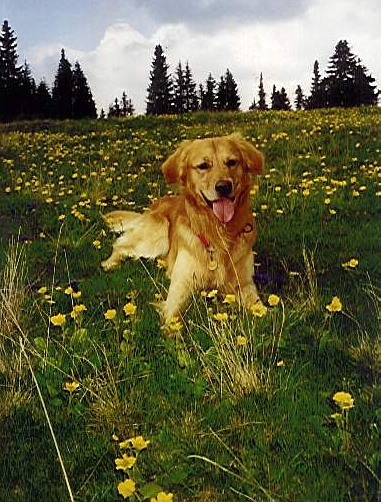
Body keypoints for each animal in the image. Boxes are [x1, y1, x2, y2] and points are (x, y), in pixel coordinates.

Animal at [102, 132, 266, 322]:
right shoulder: (181, 285)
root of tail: (152, 207)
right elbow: (172, 319)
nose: (224, 187)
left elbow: (265, 312)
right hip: (158, 235)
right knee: (120, 245)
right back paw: (109, 263)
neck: (218, 231)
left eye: (232, 162)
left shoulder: (245, 285)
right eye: (203, 166)